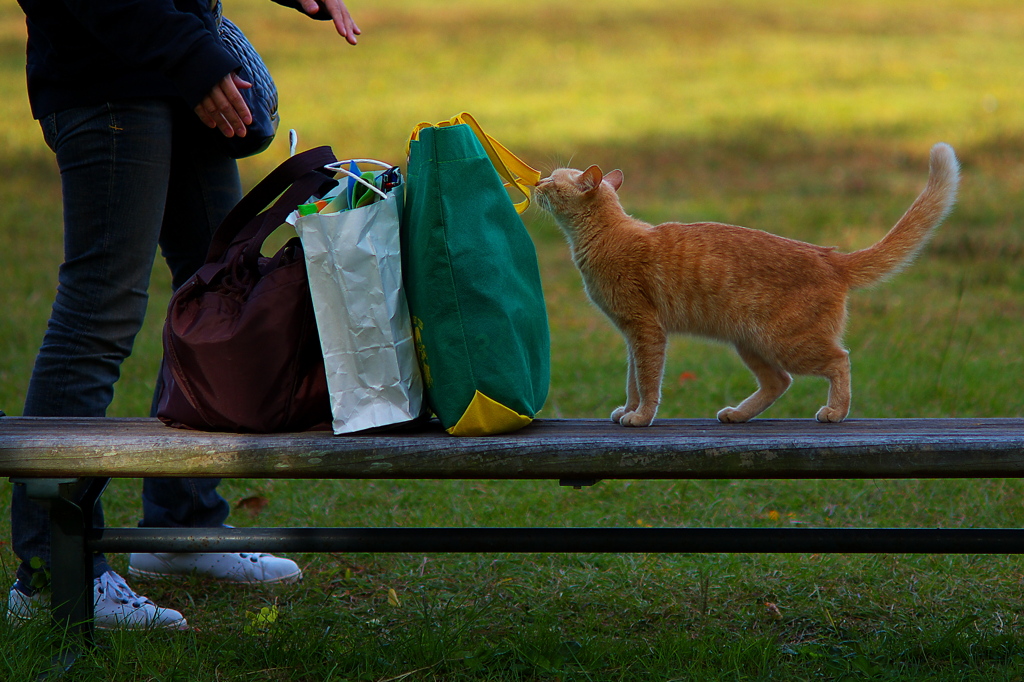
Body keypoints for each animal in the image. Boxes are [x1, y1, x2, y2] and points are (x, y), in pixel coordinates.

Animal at [536, 143, 958, 425]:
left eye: (553, 180)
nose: (537, 183)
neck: (608, 234)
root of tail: (830, 257)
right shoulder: (632, 336)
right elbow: (632, 381)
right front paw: (628, 409)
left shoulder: (646, 331)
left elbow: (648, 381)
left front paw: (640, 416)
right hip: (751, 343)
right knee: (779, 382)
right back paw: (739, 414)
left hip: (787, 342)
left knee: (840, 360)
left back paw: (835, 411)